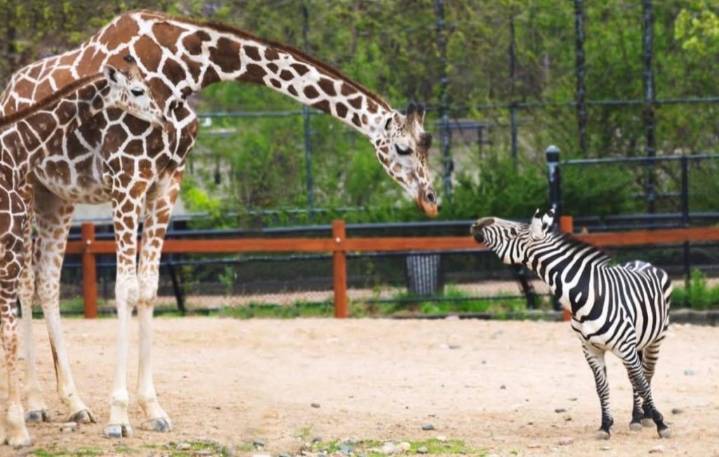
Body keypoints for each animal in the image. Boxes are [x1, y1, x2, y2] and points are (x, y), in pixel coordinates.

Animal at [470, 209, 671, 439]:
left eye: (514, 231)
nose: (477, 223)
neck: (584, 296)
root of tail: (640, 261)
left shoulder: (625, 347)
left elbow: (641, 382)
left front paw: (661, 423)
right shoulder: (590, 348)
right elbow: (602, 387)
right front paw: (605, 425)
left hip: (654, 339)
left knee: (646, 374)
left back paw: (645, 415)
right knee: (634, 376)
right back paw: (636, 417)